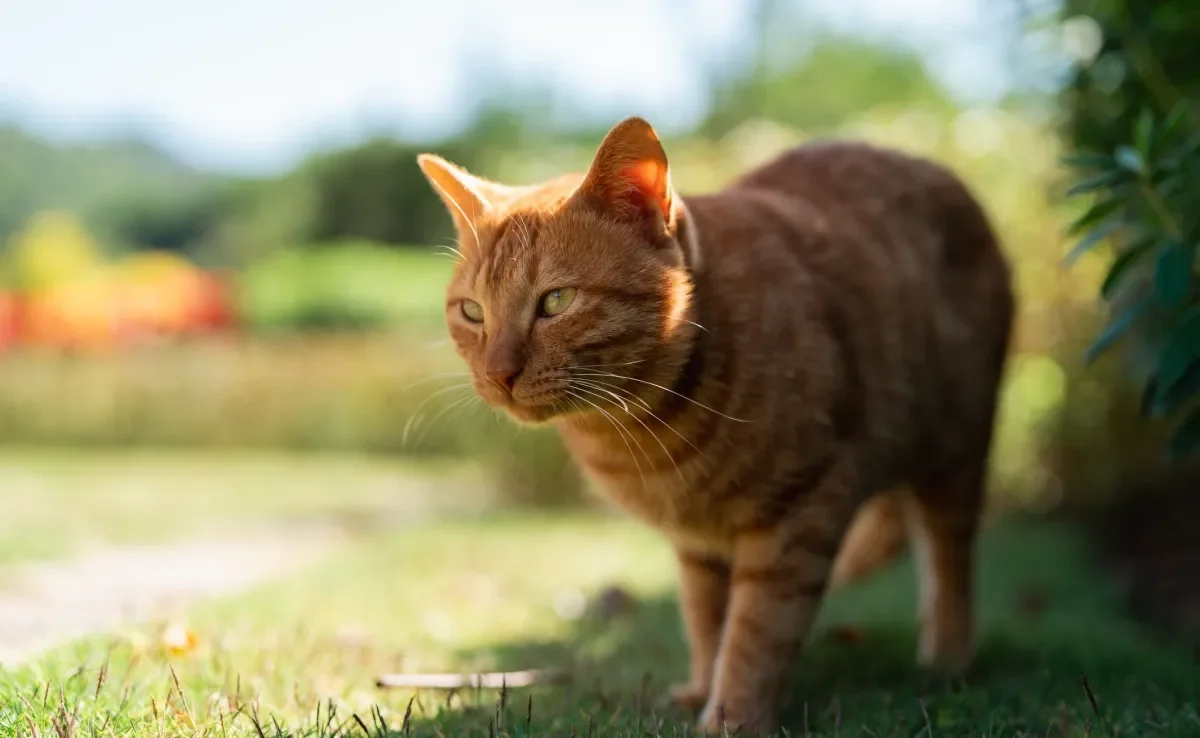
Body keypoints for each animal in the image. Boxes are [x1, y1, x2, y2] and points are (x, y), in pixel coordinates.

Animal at [417, 117, 1017, 734]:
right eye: (472, 312)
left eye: (556, 301)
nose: (498, 374)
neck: (646, 432)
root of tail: (927, 164)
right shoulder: (697, 543)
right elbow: (706, 619)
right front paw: (704, 687)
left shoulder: (801, 509)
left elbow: (756, 631)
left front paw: (733, 715)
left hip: (957, 448)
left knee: (949, 556)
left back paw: (946, 659)